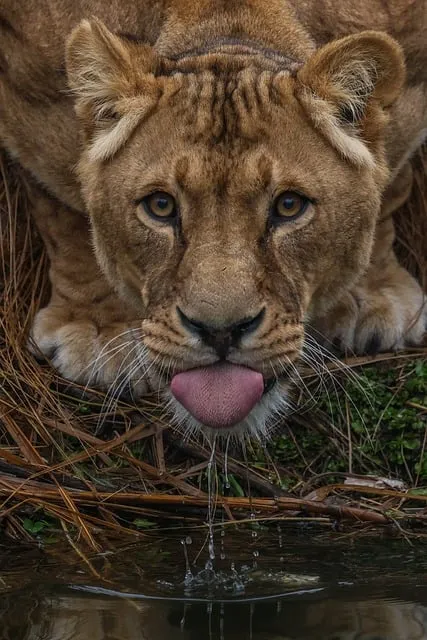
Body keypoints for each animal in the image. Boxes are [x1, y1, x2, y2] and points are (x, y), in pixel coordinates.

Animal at [0, 0, 426, 437]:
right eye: (161, 206)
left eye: (289, 205)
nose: (220, 331)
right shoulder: (32, 100)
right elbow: (64, 206)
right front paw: (99, 329)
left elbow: (393, 182)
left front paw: (371, 294)